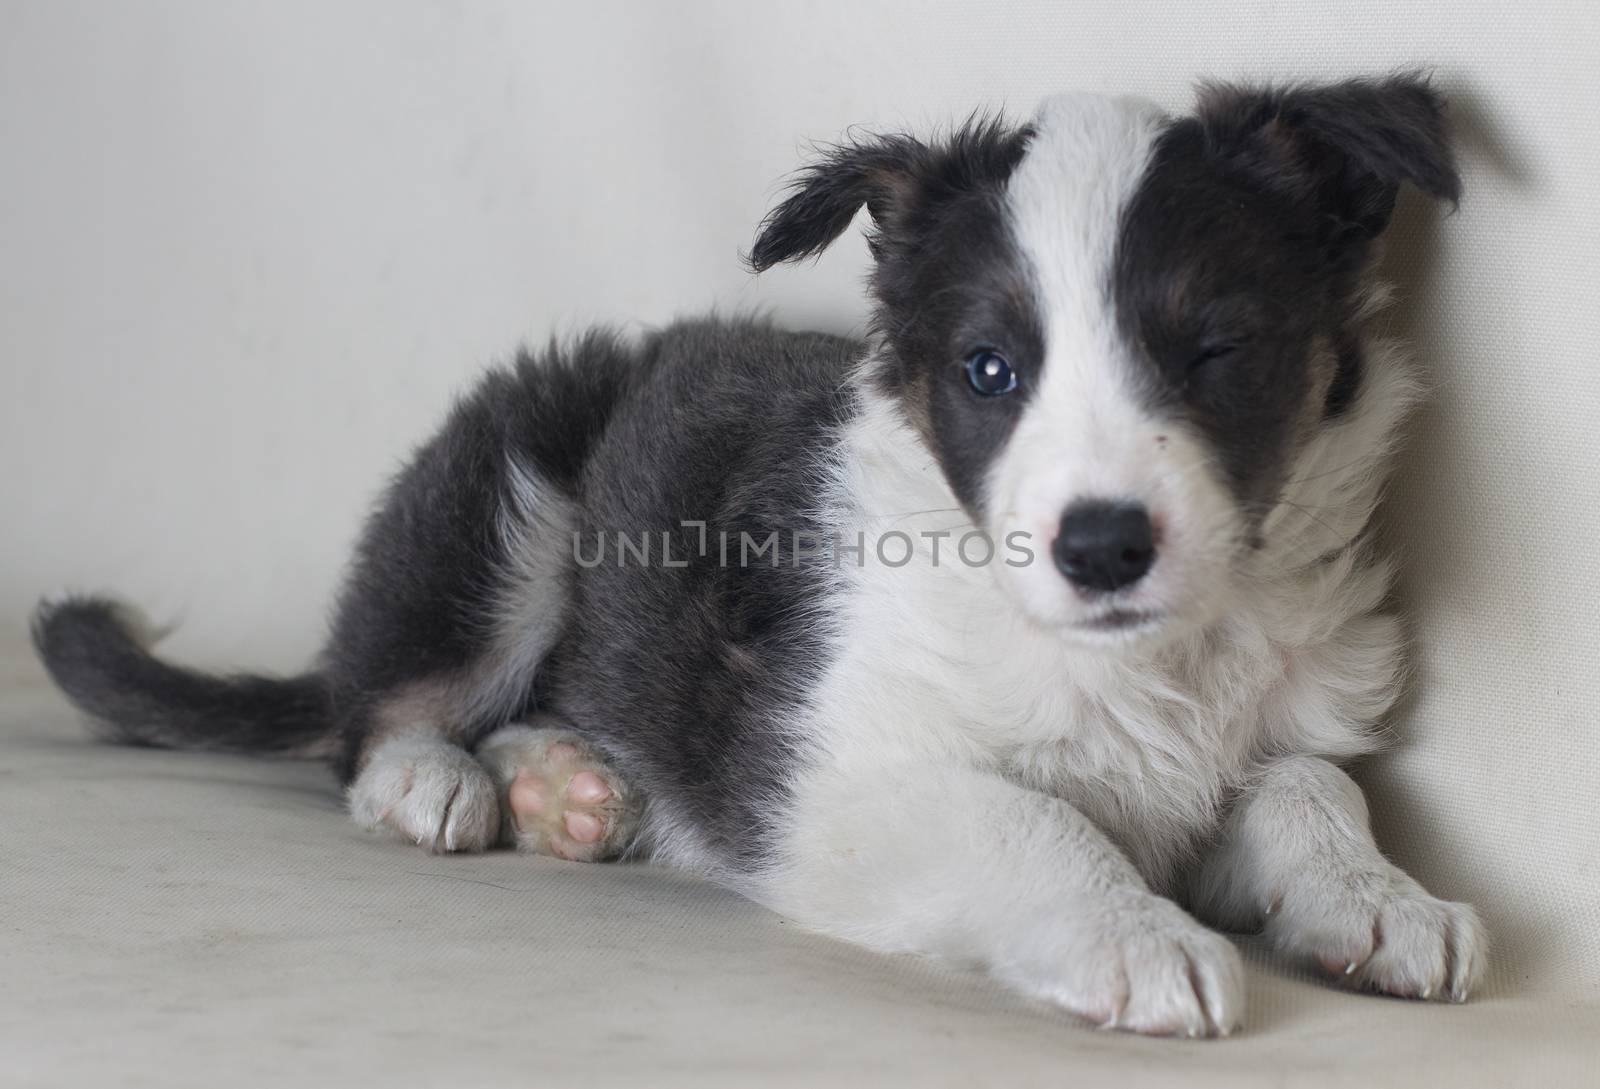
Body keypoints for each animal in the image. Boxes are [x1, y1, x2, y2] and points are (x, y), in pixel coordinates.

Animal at [34, 76, 1484, 1036]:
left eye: (1214, 351)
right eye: (990, 370)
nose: (1102, 549)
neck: (1152, 658)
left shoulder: (1251, 737)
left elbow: (1309, 784)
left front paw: (1383, 898)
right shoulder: (830, 783)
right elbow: (1035, 818)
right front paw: (1142, 934)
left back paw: (569, 788)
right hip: (508, 490)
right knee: (365, 715)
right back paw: (437, 782)